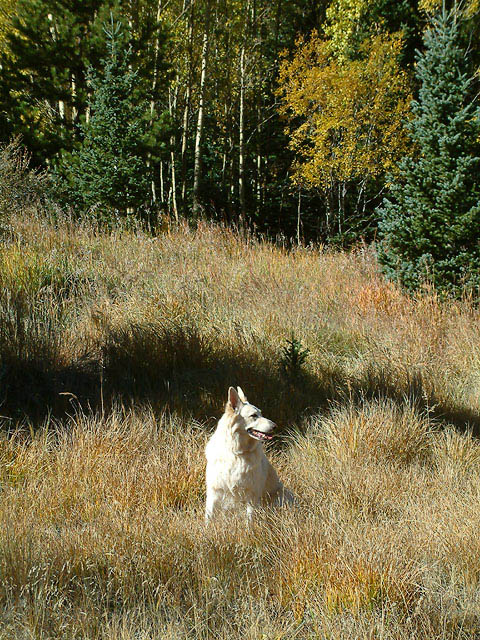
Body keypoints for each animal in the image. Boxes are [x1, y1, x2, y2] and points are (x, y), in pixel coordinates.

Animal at [205, 384, 294, 520]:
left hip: (282, 495)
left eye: (261, 414)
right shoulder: (214, 491)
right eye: (254, 415)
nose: (275, 426)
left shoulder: (252, 494)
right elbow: (208, 518)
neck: (237, 453)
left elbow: (250, 520)